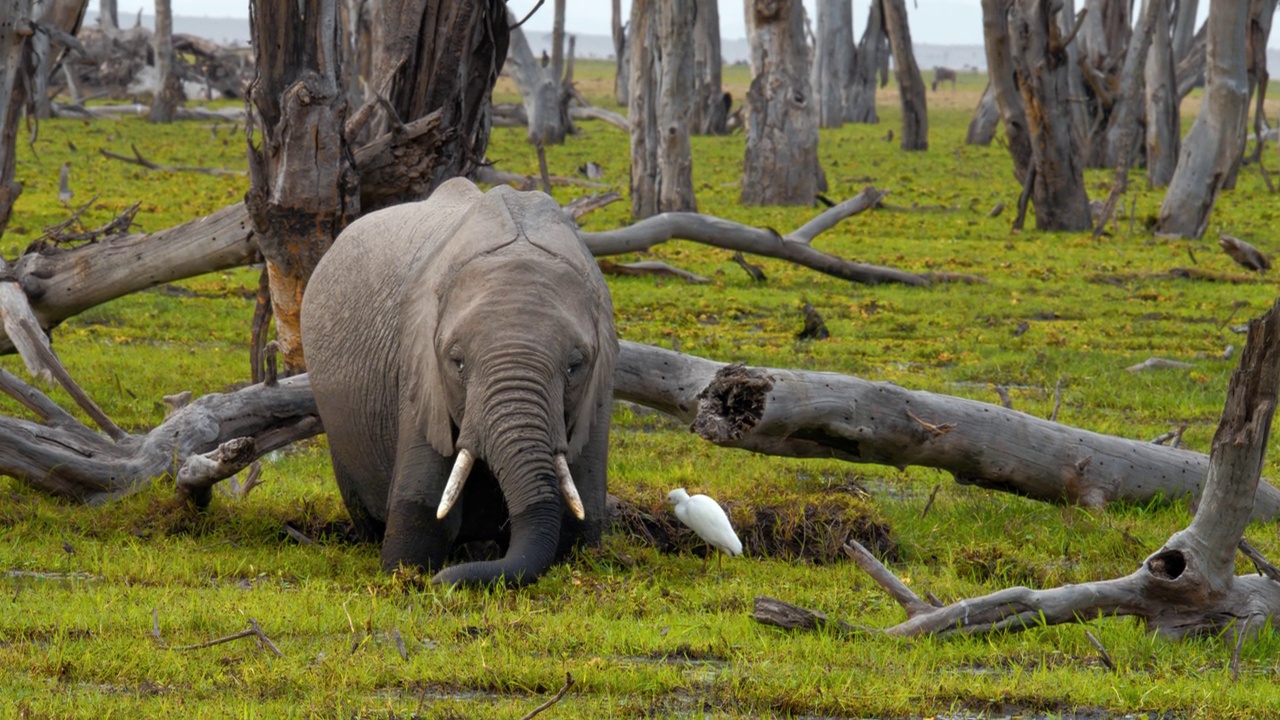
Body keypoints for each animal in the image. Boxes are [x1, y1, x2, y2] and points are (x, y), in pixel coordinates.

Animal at [302, 176, 616, 586]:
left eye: (575, 366)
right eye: (457, 362)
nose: (443, 581)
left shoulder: (600, 386)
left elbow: (582, 518)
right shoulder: (418, 367)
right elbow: (423, 510)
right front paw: (409, 576)